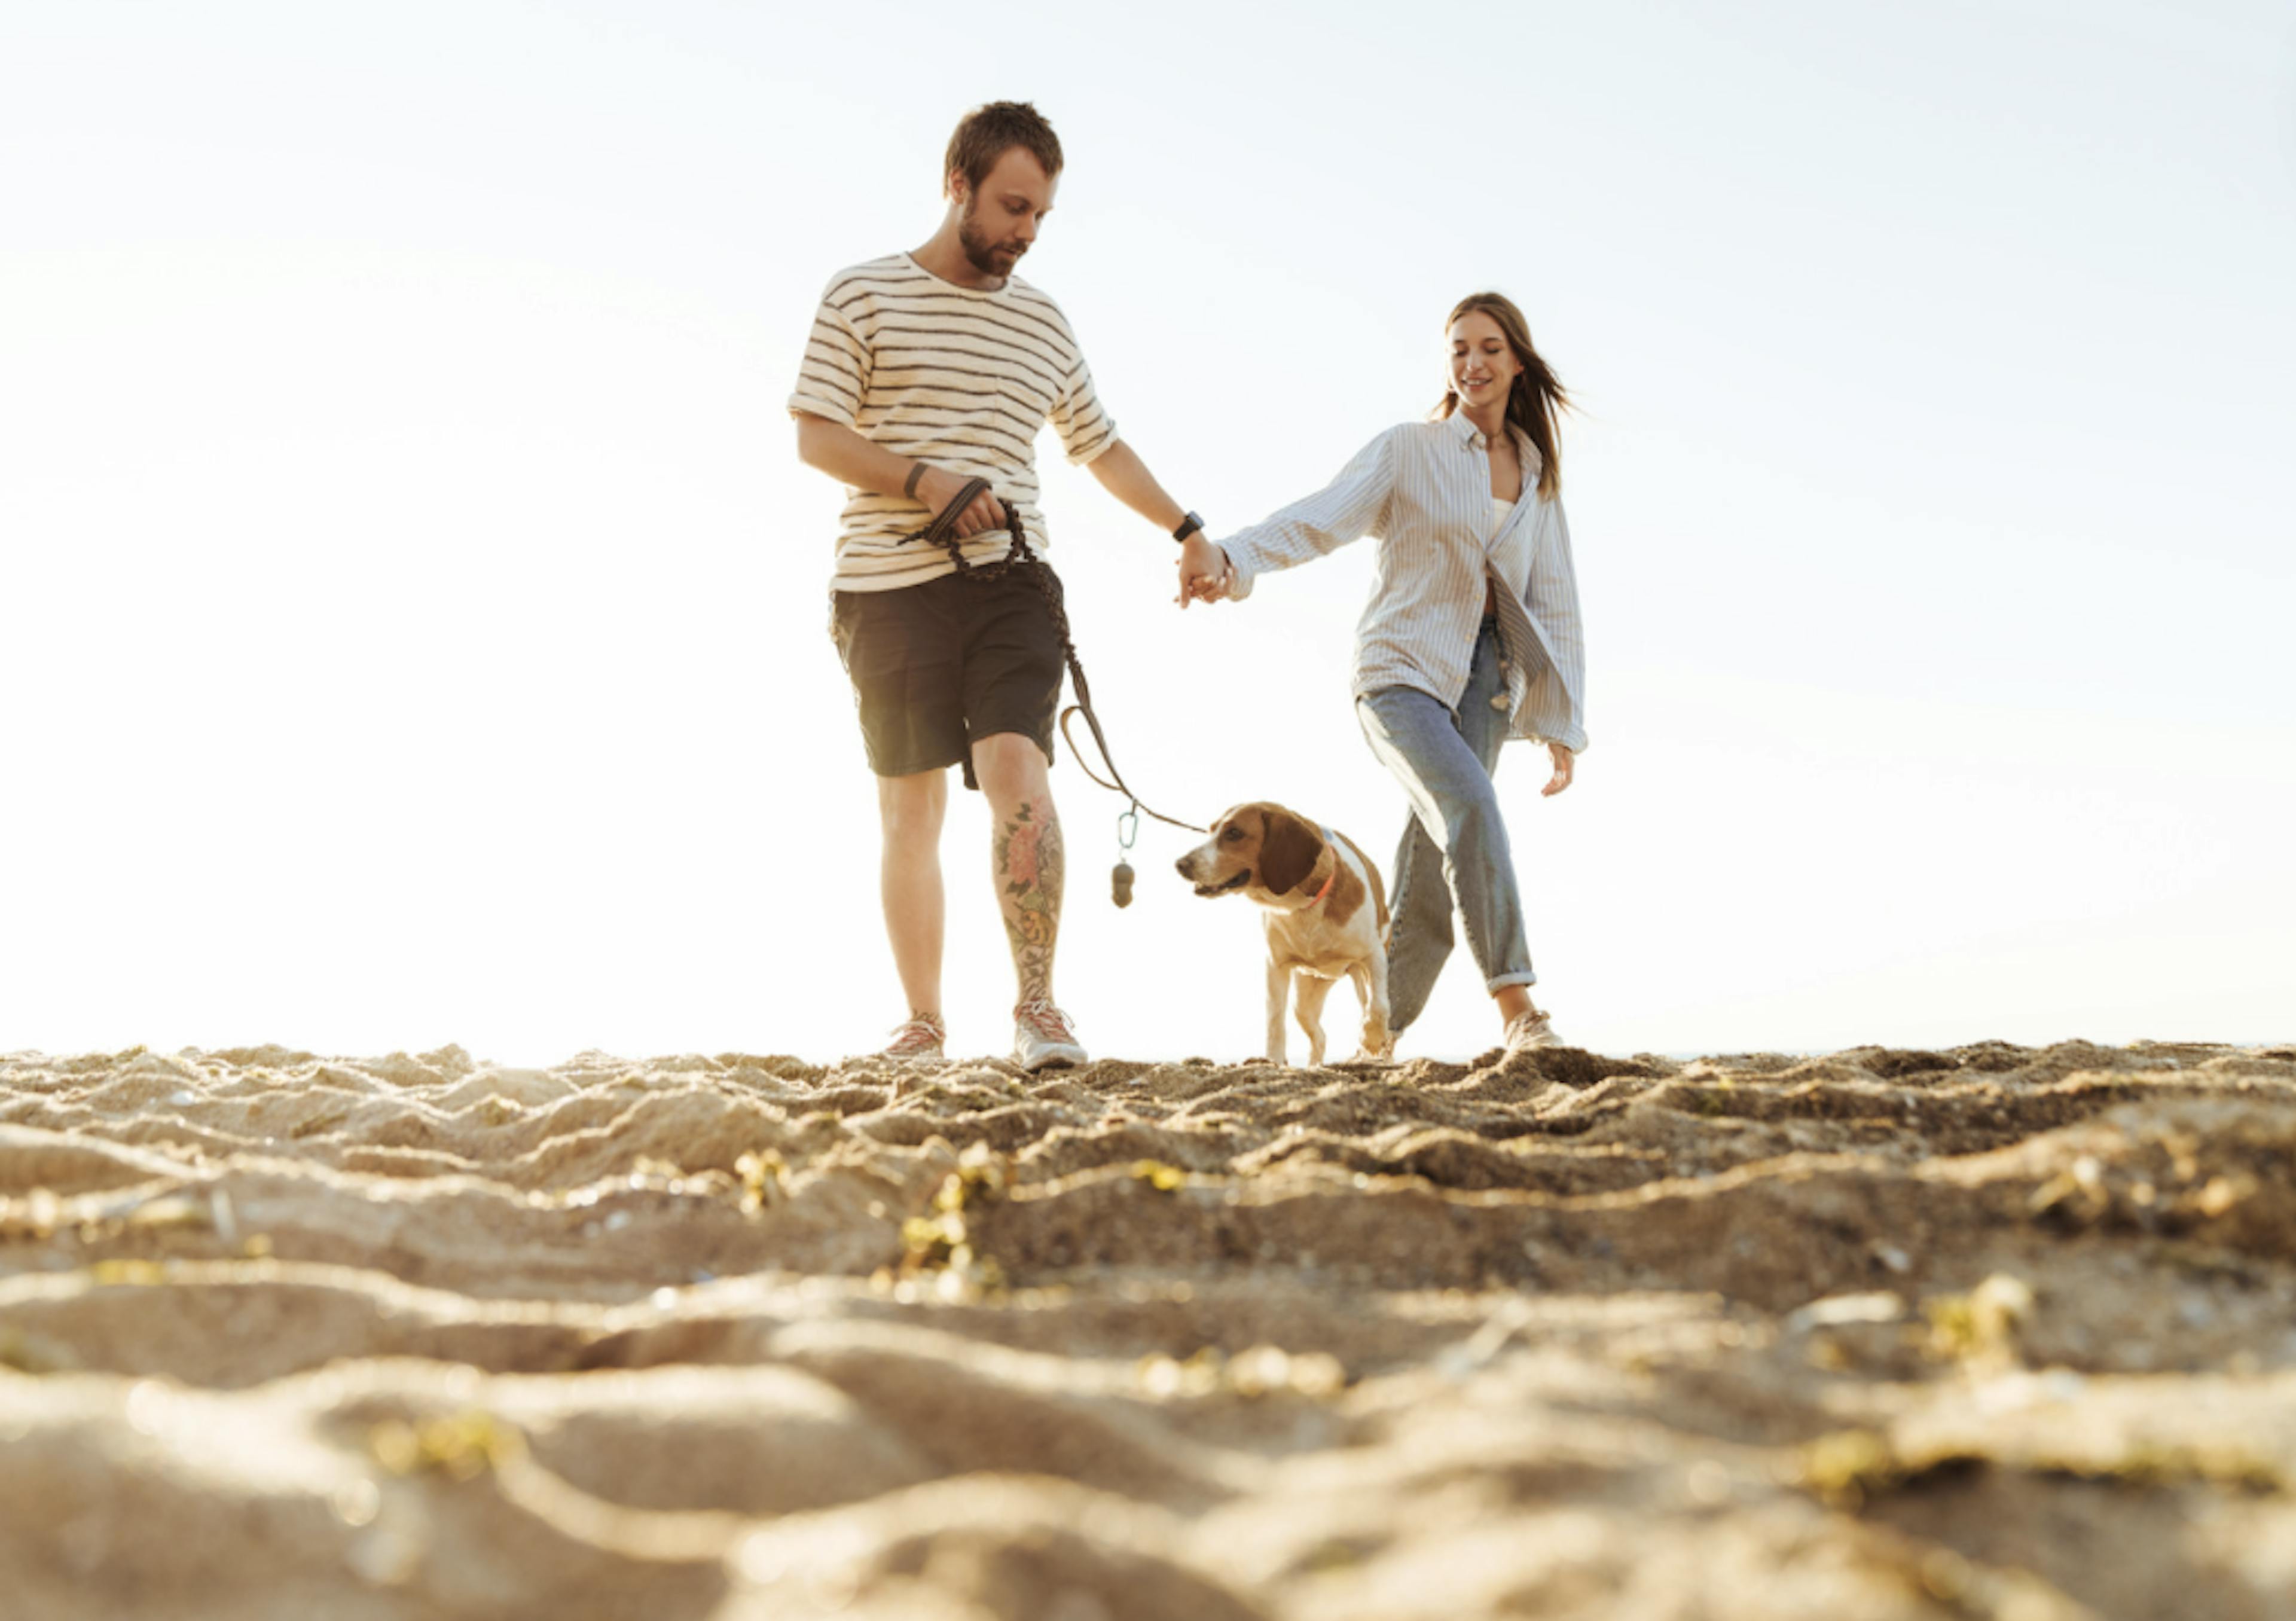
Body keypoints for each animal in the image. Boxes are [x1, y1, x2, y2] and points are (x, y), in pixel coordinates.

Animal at [1176, 803, 1387, 1065]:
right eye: (1211, 830)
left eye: (1234, 833)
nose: (1180, 864)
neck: (1303, 906)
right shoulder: (1276, 966)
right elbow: (1275, 1021)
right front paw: (1274, 1062)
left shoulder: (1374, 955)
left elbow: (1378, 1007)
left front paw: (1371, 1038)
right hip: (1304, 1000)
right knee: (1319, 1036)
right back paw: (1315, 1066)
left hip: (1358, 976)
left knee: (1372, 1009)